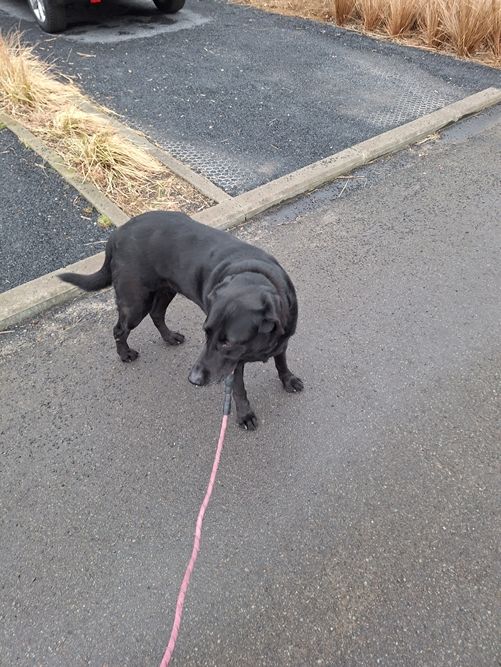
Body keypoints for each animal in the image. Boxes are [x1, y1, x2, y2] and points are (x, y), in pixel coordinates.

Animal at [59, 211, 303, 429]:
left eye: (227, 342)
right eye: (206, 332)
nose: (193, 379)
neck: (255, 276)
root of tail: (116, 234)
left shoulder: (280, 342)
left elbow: (281, 361)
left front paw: (288, 379)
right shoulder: (235, 364)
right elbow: (239, 389)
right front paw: (245, 415)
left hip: (167, 289)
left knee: (157, 314)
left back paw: (169, 337)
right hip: (136, 302)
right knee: (120, 329)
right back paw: (125, 354)